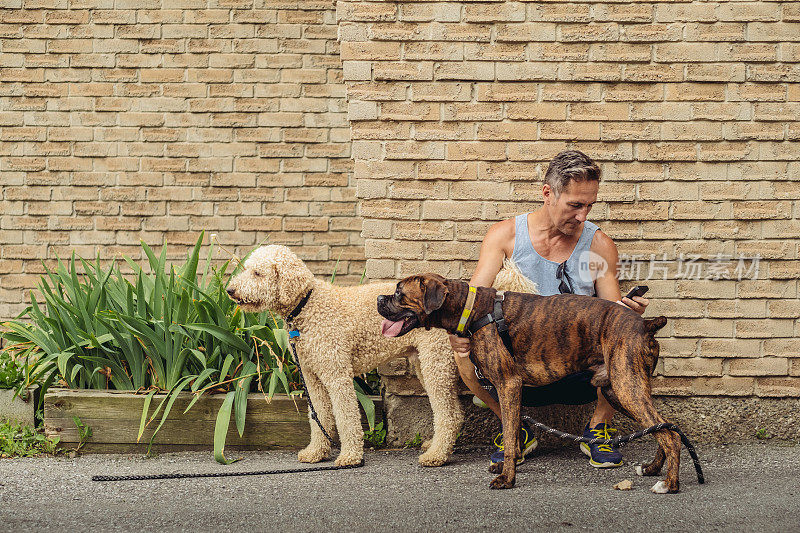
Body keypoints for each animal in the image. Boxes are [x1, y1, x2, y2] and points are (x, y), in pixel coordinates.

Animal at [225, 245, 462, 466]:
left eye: (257, 273)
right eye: (246, 269)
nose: (230, 290)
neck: (307, 305)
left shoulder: (337, 375)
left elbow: (346, 418)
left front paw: (350, 456)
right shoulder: (311, 378)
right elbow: (318, 416)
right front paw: (316, 452)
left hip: (435, 362)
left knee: (446, 414)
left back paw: (436, 455)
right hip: (428, 364)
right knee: (454, 412)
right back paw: (438, 445)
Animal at [382, 272, 680, 492]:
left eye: (399, 293)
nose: (380, 298)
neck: (471, 308)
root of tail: (645, 324)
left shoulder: (508, 384)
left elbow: (510, 432)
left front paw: (507, 478)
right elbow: (512, 431)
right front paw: (509, 464)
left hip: (626, 387)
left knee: (669, 434)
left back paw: (668, 484)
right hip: (618, 389)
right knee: (663, 427)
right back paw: (652, 469)